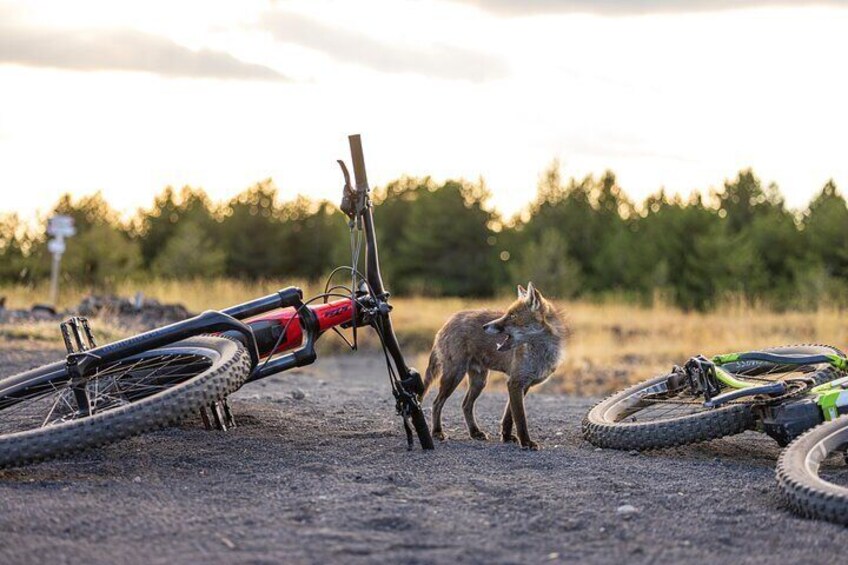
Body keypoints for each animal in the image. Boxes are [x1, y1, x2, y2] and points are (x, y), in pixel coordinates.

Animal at [422, 282, 568, 450]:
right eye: (506, 314)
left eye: (512, 316)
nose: (485, 327)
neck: (541, 354)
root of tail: (449, 321)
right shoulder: (515, 383)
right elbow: (520, 419)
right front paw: (525, 442)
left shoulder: (523, 384)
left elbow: (509, 416)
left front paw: (506, 437)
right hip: (454, 376)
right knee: (436, 403)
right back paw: (437, 432)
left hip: (479, 381)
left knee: (466, 405)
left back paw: (474, 432)